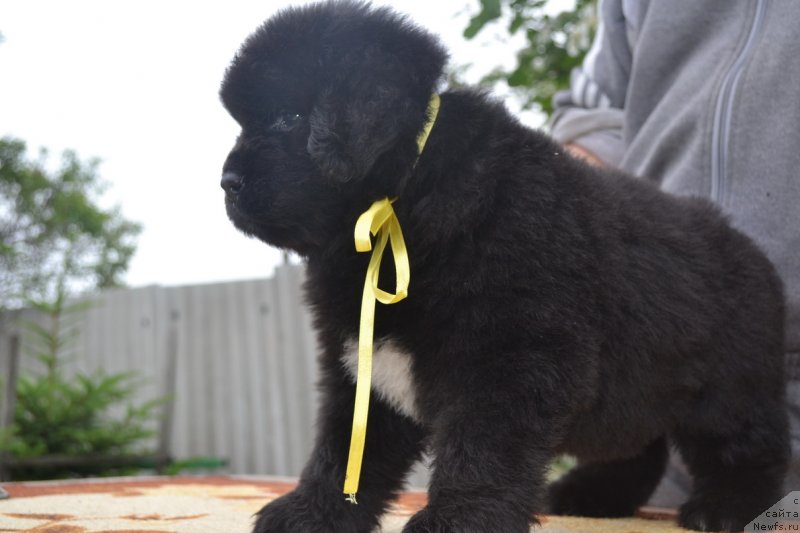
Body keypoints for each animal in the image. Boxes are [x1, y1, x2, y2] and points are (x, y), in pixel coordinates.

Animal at [217, 2, 788, 528]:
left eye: (289, 118)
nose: (227, 183)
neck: (403, 201)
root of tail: (746, 245)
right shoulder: (362, 359)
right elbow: (343, 447)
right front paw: (311, 513)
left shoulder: (509, 357)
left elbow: (481, 448)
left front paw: (458, 520)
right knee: (637, 448)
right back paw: (591, 495)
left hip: (730, 387)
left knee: (750, 448)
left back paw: (726, 506)